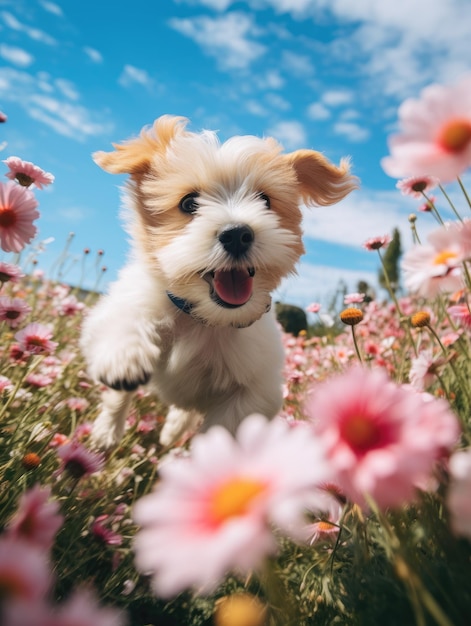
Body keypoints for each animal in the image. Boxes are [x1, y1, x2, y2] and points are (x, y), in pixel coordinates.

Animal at [80, 116, 358, 448]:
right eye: (189, 203)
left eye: (265, 201)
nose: (237, 234)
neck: (203, 318)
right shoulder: (132, 300)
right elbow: (123, 320)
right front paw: (124, 359)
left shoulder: (256, 390)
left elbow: (226, 425)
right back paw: (106, 434)